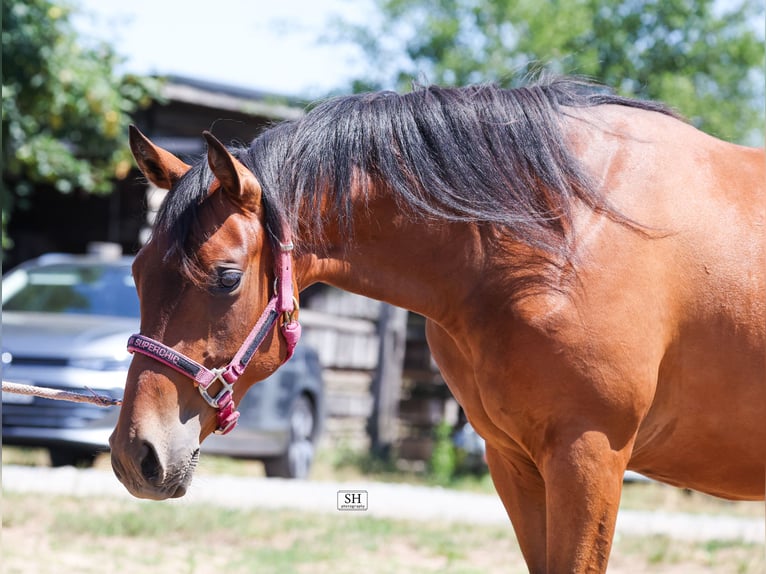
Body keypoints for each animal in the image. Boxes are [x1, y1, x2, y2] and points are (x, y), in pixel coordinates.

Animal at [109, 76, 765, 573]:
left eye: (225, 277)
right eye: (136, 271)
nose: (136, 455)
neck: (558, 232)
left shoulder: (591, 455)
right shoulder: (514, 461)